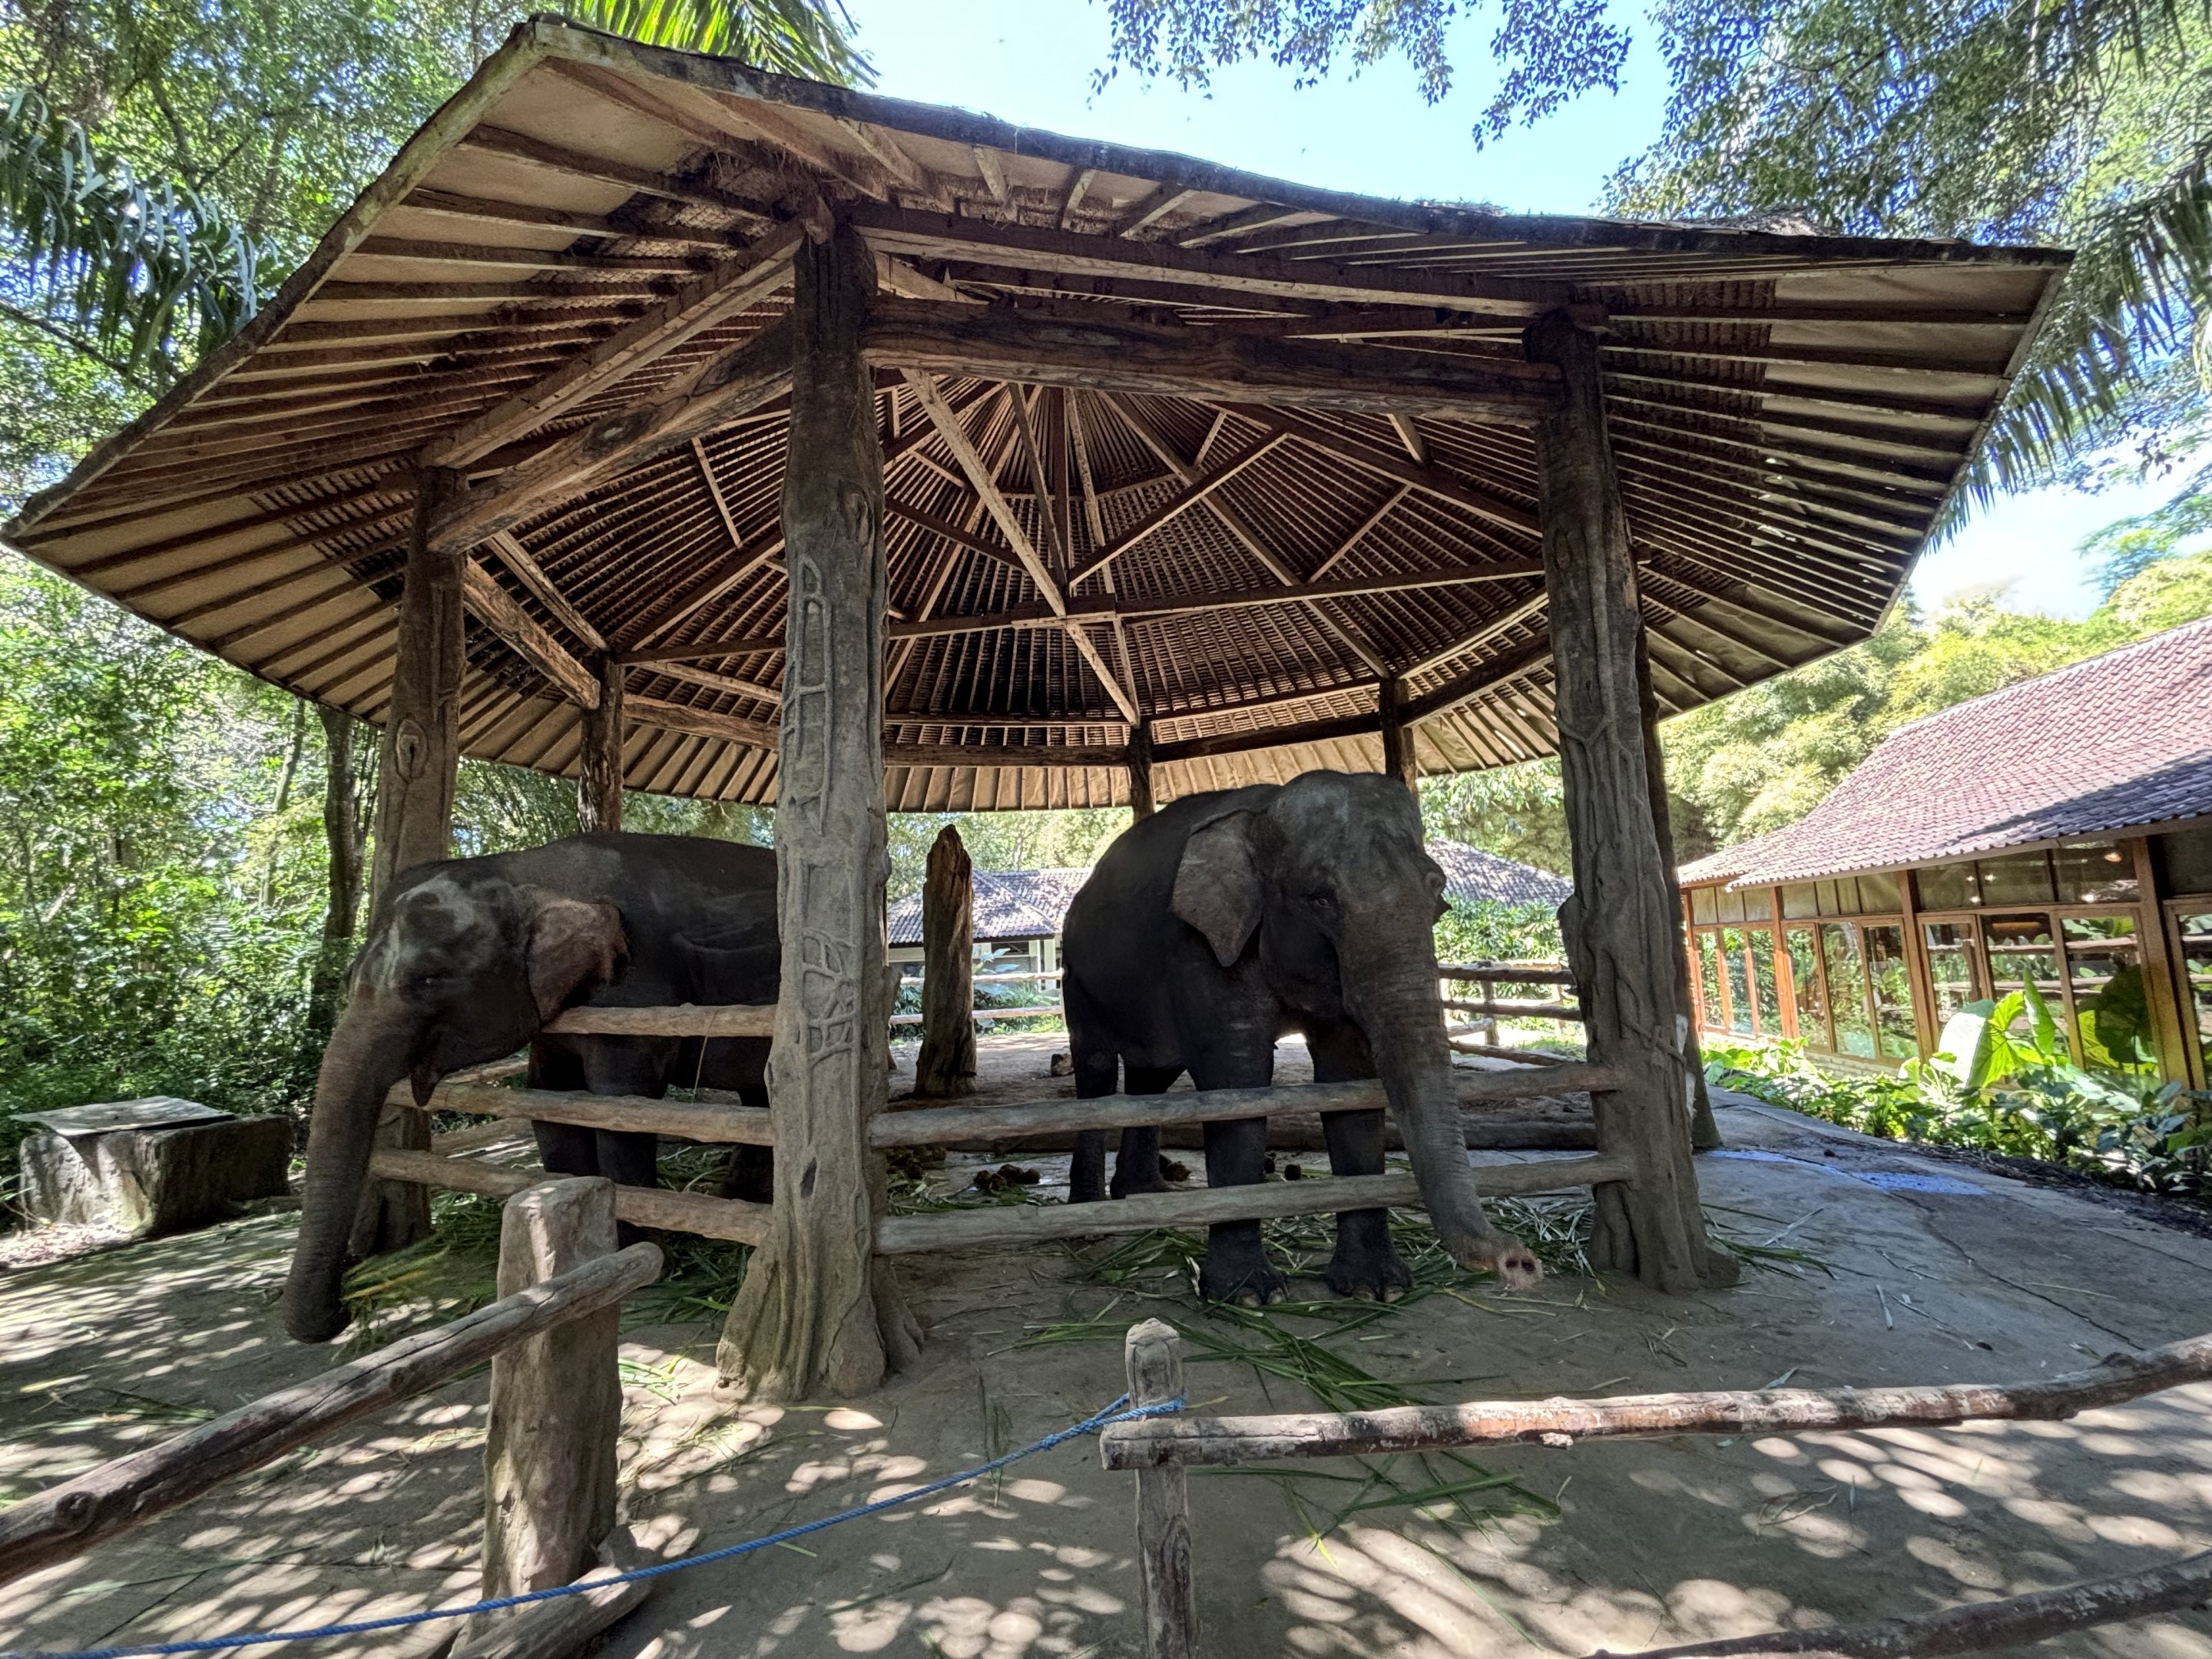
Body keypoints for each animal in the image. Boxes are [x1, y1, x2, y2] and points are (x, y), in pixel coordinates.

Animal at [284, 832, 779, 1343]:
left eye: (429, 978)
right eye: (349, 977)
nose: (341, 1313)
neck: (528, 873)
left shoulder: (636, 993)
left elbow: (622, 1103)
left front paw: (644, 1259)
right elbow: (550, 1099)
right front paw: (576, 1247)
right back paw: (739, 1199)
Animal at [1060, 771, 1540, 1306]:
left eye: (1436, 892)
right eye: (1320, 898)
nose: (1521, 1263)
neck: (1265, 810)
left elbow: (1347, 1081)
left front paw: (1376, 1289)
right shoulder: (1201, 946)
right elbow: (1238, 1080)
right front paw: (1249, 1296)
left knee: (1153, 1078)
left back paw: (1146, 1197)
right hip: (1076, 974)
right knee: (1097, 1073)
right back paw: (1089, 1221)